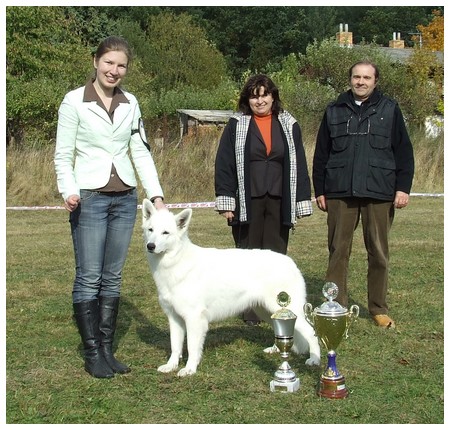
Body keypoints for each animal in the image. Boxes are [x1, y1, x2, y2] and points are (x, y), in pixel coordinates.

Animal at [141, 199, 320, 376]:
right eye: (151, 230)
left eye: (165, 233)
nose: (150, 246)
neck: (177, 261)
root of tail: (290, 261)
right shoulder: (174, 318)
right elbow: (175, 346)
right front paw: (171, 365)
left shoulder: (194, 318)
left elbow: (192, 347)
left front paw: (189, 369)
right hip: (268, 311)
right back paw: (275, 349)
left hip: (287, 309)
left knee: (312, 333)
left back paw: (314, 359)